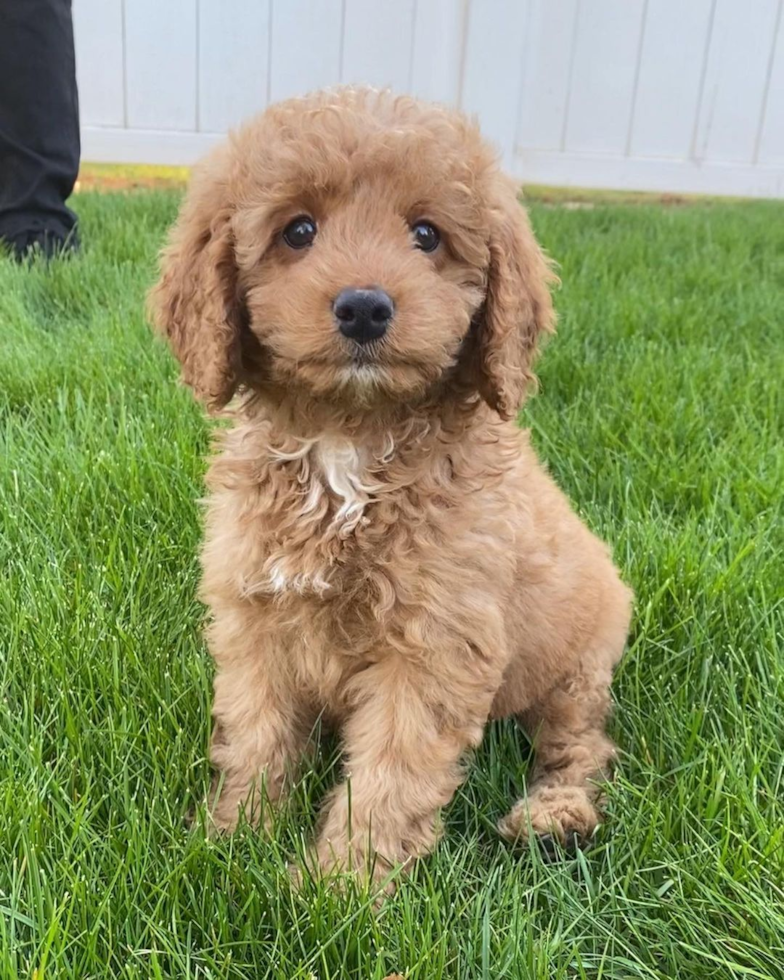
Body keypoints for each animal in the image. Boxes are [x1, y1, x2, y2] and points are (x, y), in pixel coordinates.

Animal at [150, 88, 632, 892]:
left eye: (427, 235)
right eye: (299, 230)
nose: (365, 308)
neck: (349, 441)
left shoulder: (435, 645)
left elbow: (391, 771)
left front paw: (338, 888)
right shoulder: (256, 621)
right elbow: (257, 734)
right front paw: (232, 838)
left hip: (577, 667)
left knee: (581, 745)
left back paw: (554, 816)